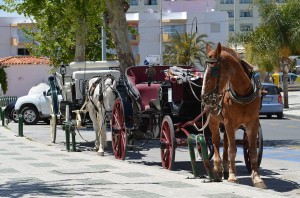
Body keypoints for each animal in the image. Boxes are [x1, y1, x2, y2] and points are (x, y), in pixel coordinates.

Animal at [200, 43, 266, 189]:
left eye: (213, 71)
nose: (204, 97)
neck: (243, 92)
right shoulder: (229, 122)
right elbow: (232, 150)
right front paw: (232, 176)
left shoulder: (252, 123)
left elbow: (252, 151)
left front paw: (257, 178)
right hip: (214, 120)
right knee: (215, 142)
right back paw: (218, 169)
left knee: (224, 143)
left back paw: (225, 168)